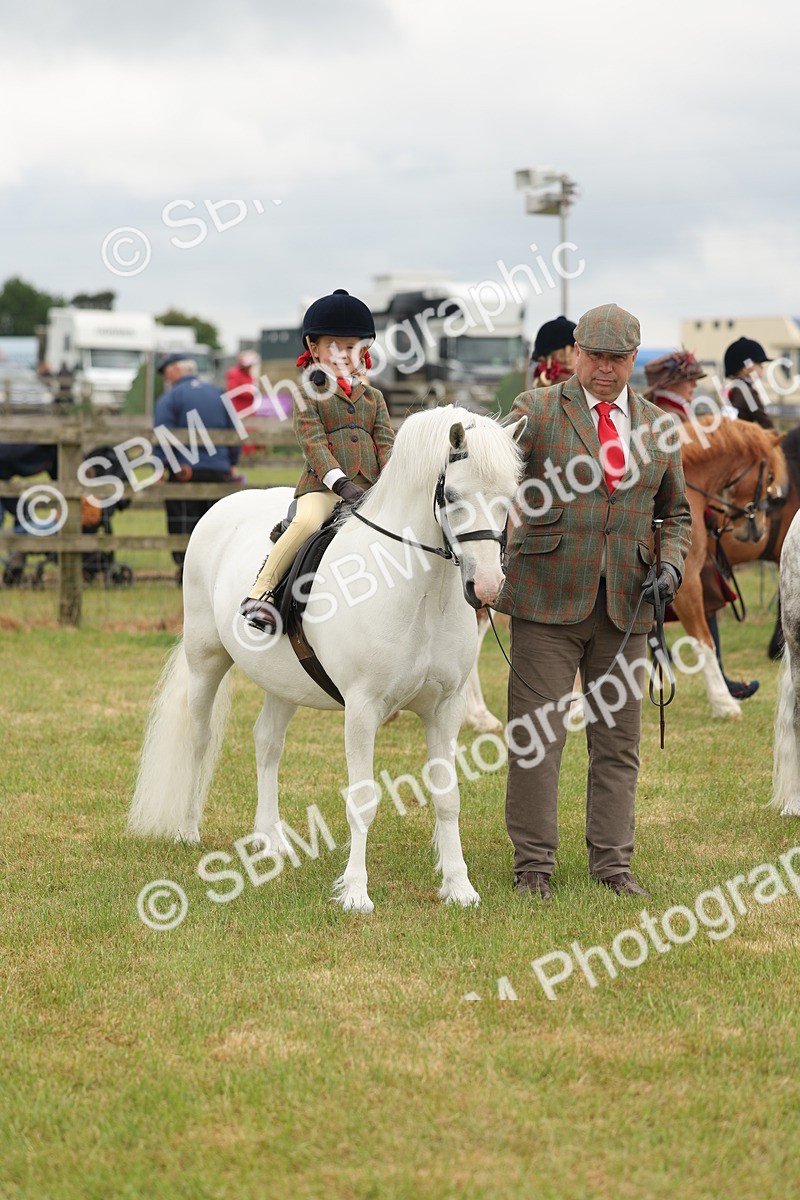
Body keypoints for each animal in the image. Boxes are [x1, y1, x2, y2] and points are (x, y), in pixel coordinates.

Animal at [128, 406, 525, 912]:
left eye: (509, 497)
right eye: (452, 495)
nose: (487, 588)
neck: (418, 591)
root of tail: (220, 508)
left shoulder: (445, 708)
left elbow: (447, 796)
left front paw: (459, 887)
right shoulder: (363, 708)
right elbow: (362, 799)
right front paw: (355, 893)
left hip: (284, 681)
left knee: (267, 743)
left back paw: (271, 839)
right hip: (206, 660)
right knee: (199, 741)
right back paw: (187, 829)